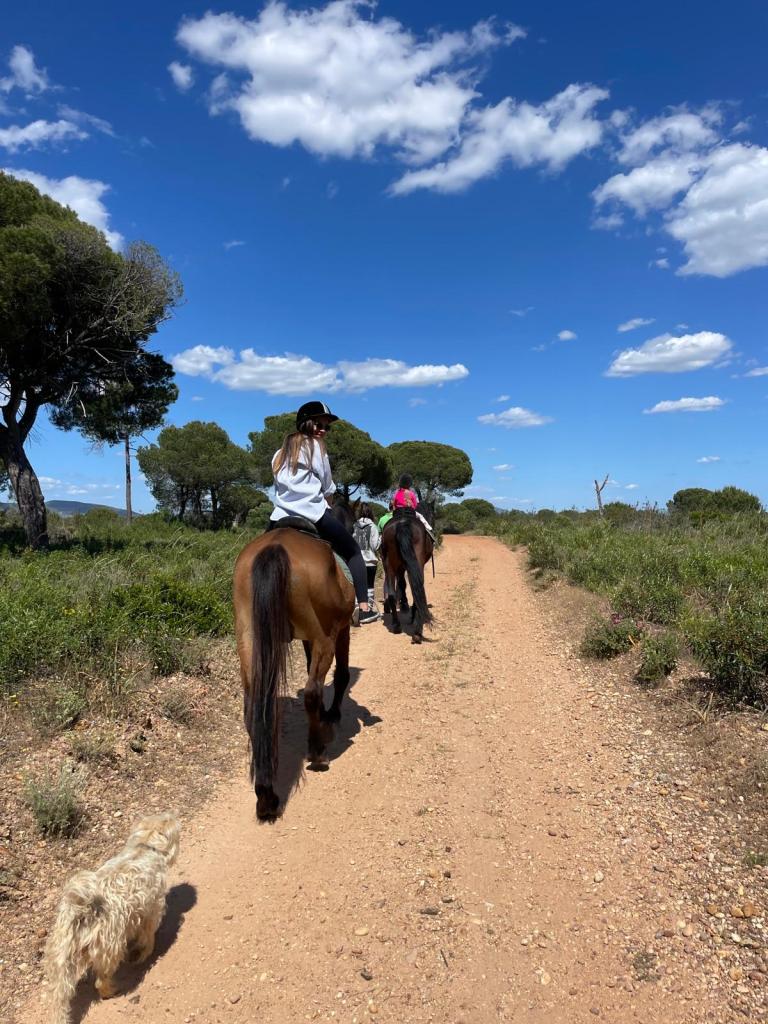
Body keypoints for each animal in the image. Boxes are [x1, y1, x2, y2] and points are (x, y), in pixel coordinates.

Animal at [44, 810, 180, 1024]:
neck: (144, 846)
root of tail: (82, 909)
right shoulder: (153, 908)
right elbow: (147, 936)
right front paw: (144, 954)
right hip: (110, 948)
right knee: (101, 982)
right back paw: (111, 991)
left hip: (61, 960)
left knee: (58, 999)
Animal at [232, 520, 355, 821]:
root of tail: (276, 546)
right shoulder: (340, 630)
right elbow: (341, 675)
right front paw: (332, 714)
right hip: (325, 637)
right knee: (312, 691)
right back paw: (317, 753)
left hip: (249, 639)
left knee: (253, 707)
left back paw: (266, 796)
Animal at [379, 506, 434, 643]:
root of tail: (403, 523)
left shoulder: (401, 567)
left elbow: (401, 584)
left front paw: (403, 604)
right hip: (416, 563)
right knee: (417, 589)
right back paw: (417, 632)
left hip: (389, 564)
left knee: (392, 593)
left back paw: (396, 625)